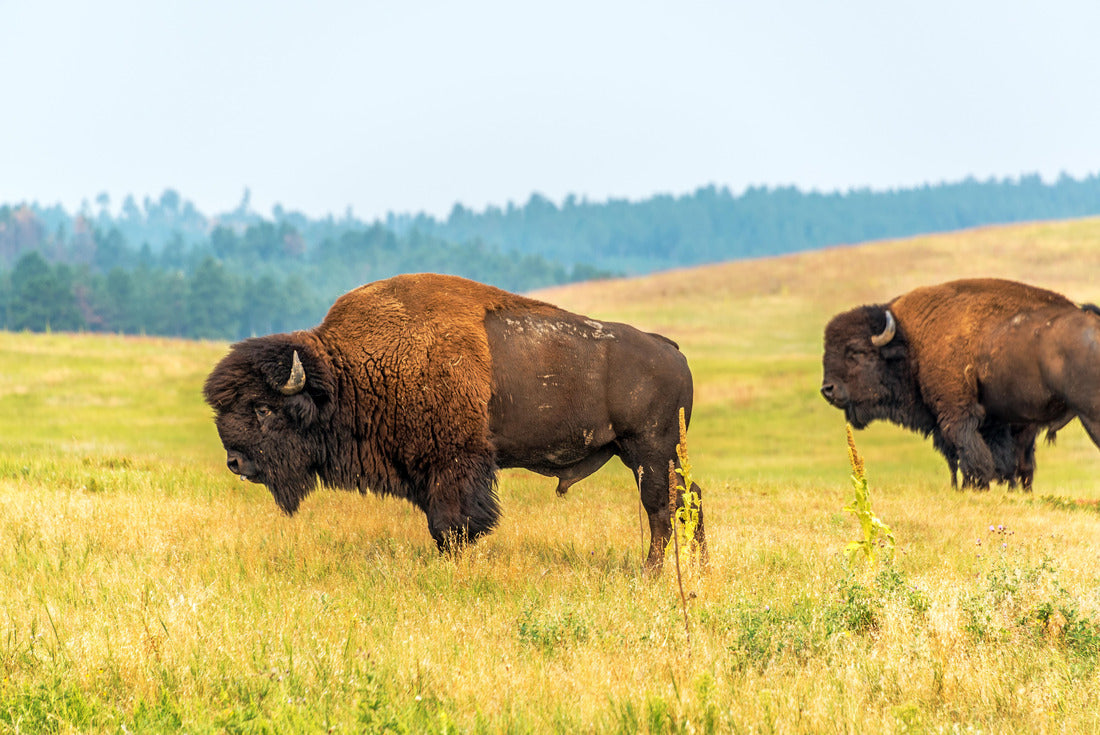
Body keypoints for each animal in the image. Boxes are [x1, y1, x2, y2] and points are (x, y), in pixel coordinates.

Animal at [204, 273, 703, 569]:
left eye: (263, 408)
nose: (235, 462)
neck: (348, 372)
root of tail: (672, 350)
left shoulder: (454, 464)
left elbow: (452, 523)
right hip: (653, 454)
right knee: (688, 497)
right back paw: (697, 567)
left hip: (648, 450)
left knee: (662, 506)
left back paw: (651, 573)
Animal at [821, 278, 1098, 489]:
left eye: (857, 351)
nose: (828, 389)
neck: (911, 342)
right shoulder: (994, 421)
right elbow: (995, 457)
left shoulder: (956, 412)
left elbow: (968, 451)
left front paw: (975, 485)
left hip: (1090, 414)